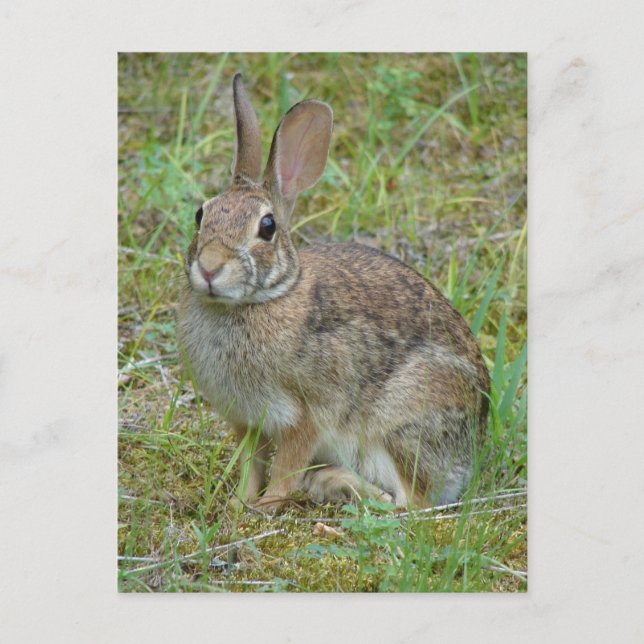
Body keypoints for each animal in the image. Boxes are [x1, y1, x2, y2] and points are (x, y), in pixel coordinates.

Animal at [177, 73, 490, 513]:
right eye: (200, 213)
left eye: (267, 227)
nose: (208, 267)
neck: (261, 299)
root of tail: (472, 452)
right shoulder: (247, 421)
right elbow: (251, 466)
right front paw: (239, 506)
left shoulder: (303, 416)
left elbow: (284, 470)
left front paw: (265, 507)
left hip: (401, 422)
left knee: (408, 503)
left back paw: (333, 482)